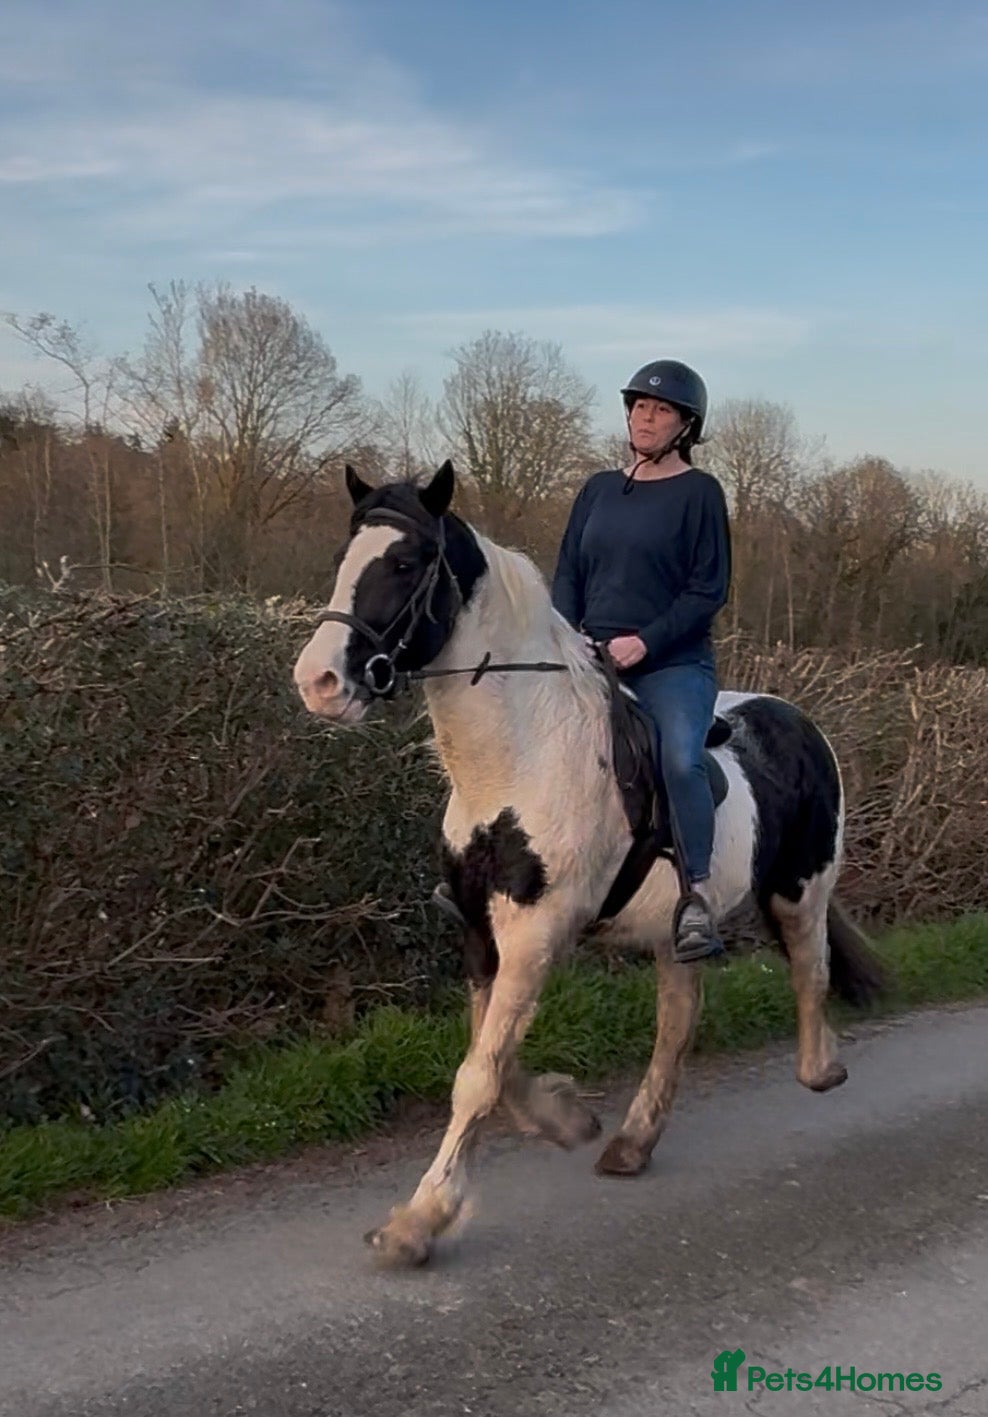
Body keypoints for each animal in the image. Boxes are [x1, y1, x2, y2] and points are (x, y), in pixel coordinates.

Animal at [293, 460, 885, 1267]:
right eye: (341, 558)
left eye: (407, 563)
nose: (317, 681)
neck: (519, 757)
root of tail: (800, 721)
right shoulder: (480, 933)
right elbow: (493, 1058)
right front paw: (565, 1118)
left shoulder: (536, 934)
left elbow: (477, 1075)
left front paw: (420, 1220)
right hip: (676, 930)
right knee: (678, 1020)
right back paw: (633, 1140)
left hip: (803, 890)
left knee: (810, 967)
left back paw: (821, 1069)